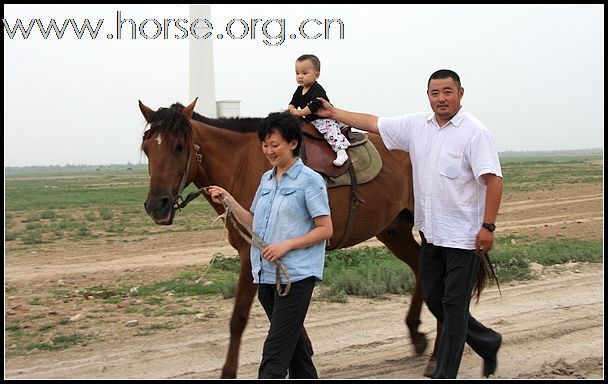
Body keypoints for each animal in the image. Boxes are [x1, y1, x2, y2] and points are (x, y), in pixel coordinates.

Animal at [139, 99, 442, 378]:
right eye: (146, 148)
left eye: (179, 147)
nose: (156, 206)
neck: (244, 164)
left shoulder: (254, 254)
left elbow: (240, 317)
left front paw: (229, 372)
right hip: (394, 231)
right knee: (419, 268)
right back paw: (417, 334)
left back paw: (436, 356)